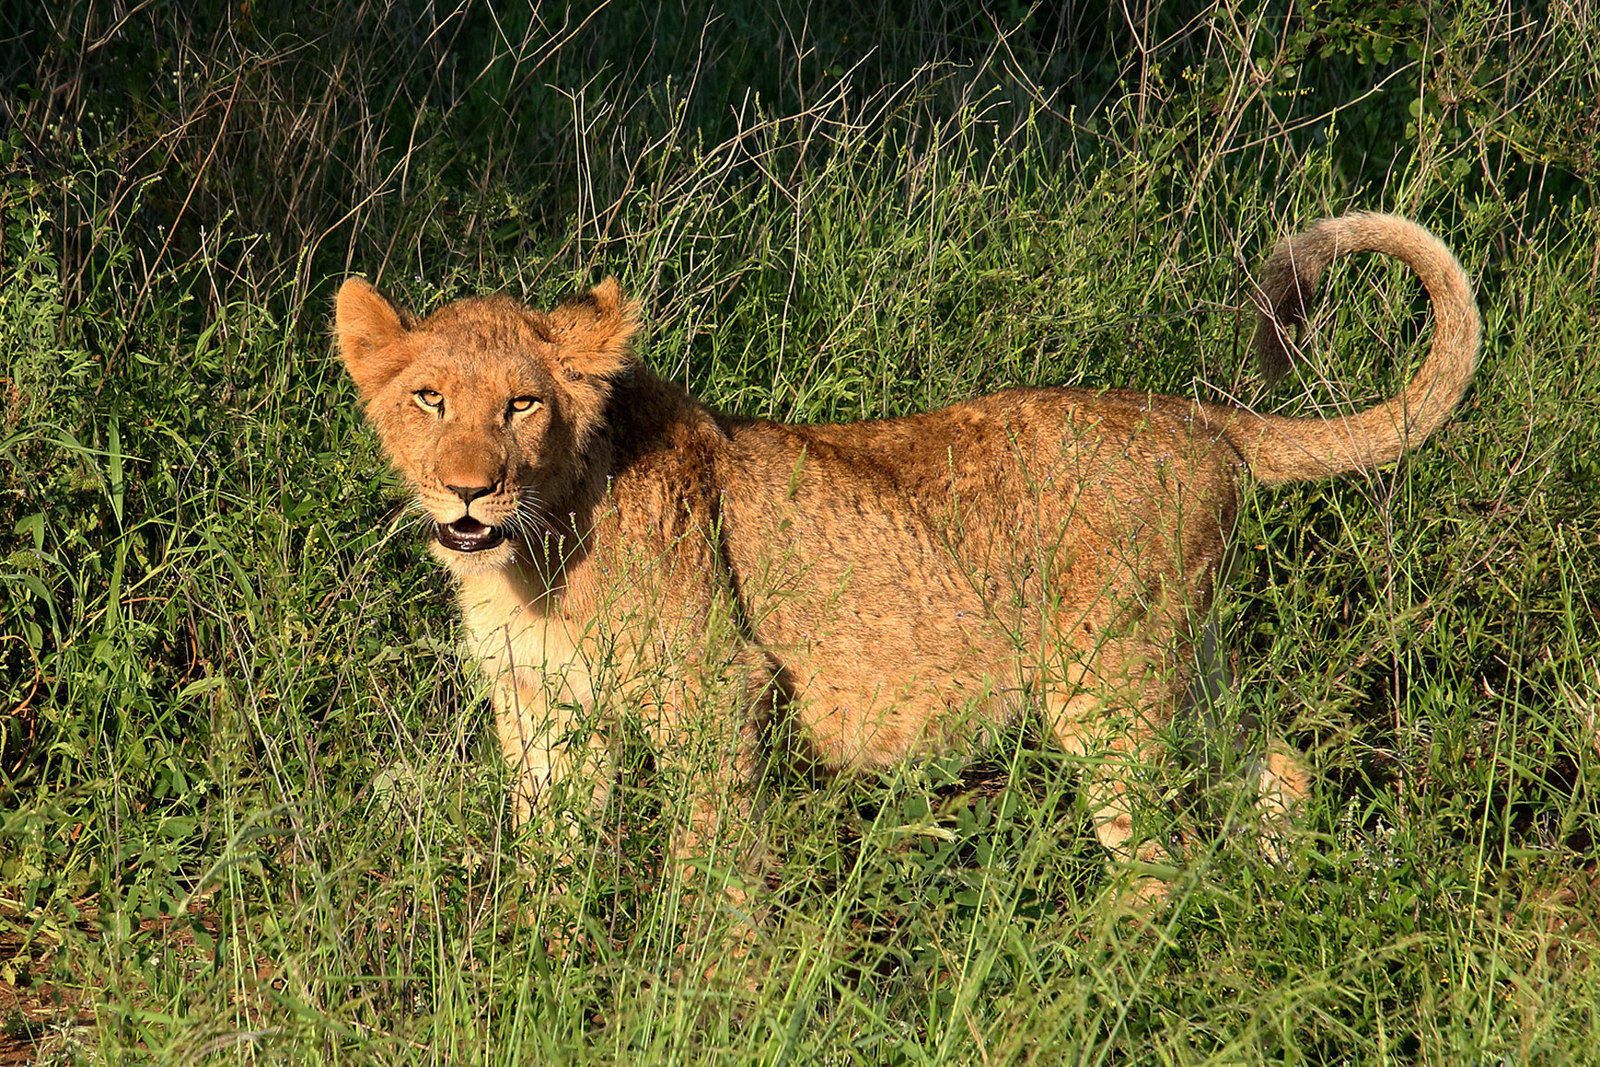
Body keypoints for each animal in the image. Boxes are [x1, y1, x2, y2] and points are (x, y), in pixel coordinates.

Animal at [334, 212, 1479, 914]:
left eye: (523, 403)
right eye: (429, 398)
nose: (467, 489)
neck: (531, 559)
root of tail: (1202, 417)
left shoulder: (716, 689)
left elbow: (715, 859)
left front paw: (709, 981)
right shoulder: (540, 712)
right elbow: (550, 853)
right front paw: (545, 952)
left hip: (1105, 684)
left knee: (1161, 862)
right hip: (1182, 664)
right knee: (1274, 766)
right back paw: (1281, 901)